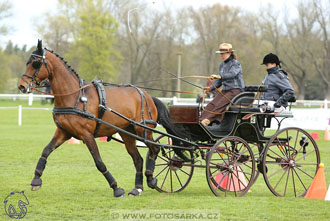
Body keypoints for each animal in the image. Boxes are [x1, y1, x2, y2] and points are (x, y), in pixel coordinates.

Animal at [18, 39, 184, 197]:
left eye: (35, 63)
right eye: (27, 62)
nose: (21, 86)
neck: (74, 96)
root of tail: (147, 95)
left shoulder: (86, 135)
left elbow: (99, 162)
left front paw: (116, 188)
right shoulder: (64, 132)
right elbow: (46, 151)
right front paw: (36, 180)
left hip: (143, 130)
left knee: (155, 148)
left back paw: (150, 178)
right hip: (127, 133)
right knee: (138, 159)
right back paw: (137, 188)